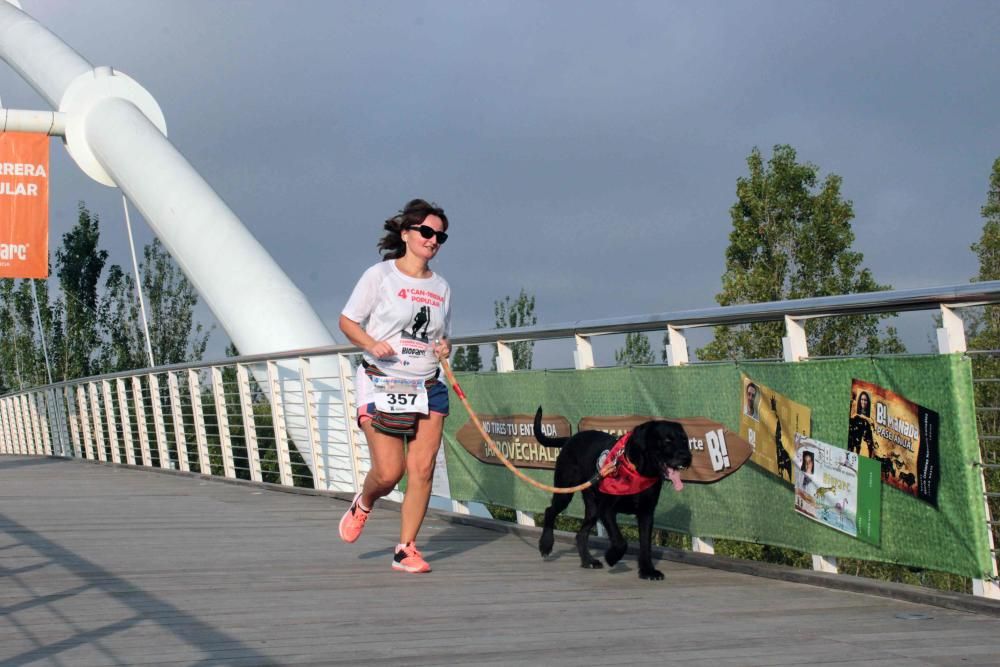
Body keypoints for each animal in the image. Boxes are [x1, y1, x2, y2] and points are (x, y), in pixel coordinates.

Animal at [536, 404, 692, 580]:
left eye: (684, 440)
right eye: (667, 440)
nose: (687, 457)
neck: (636, 470)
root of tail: (571, 439)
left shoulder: (646, 513)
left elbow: (646, 545)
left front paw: (647, 570)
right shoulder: (607, 510)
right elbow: (620, 541)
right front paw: (612, 557)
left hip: (593, 507)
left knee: (581, 534)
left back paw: (588, 561)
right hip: (565, 492)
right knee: (550, 511)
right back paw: (546, 544)